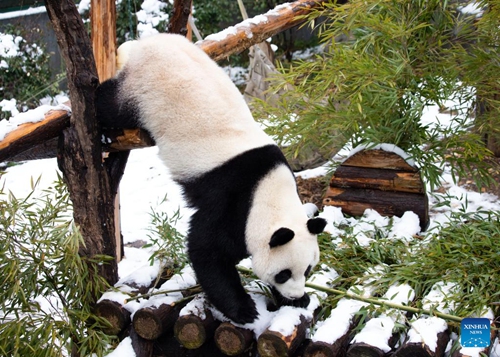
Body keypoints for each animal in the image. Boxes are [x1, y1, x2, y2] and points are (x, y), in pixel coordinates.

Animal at [95, 33, 326, 322]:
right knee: (109, 105)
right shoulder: (231, 199)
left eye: (307, 270)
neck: (269, 191)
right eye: (284, 274)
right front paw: (245, 310)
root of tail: (145, 43)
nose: (295, 294)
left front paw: (297, 301)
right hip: (140, 88)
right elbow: (207, 251)